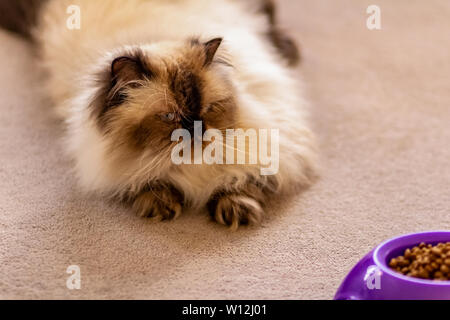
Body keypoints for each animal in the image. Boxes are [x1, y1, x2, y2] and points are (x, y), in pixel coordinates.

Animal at [0, 0, 316, 230]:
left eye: (208, 109)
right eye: (169, 118)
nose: (197, 129)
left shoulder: (275, 134)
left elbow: (244, 176)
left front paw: (236, 208)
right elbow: (142, 180)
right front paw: (160, 204)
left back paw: (289, 48)